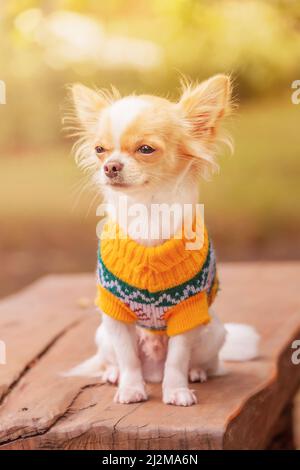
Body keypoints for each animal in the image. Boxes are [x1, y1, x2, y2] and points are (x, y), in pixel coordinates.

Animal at [67, 75, 258, 406]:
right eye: (100, 150)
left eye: (146, 149)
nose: (110, 166)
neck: (147, 211)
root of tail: (152, 369)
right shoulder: (115, 315)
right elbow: (128, 358)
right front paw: (131, 388)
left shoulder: (186, 312)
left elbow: (177, 360)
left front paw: (177, 390)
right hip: (102, 334)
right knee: (113, 359)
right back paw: (113, 374)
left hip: (212, 332)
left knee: (206, 362)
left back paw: (197, 372)